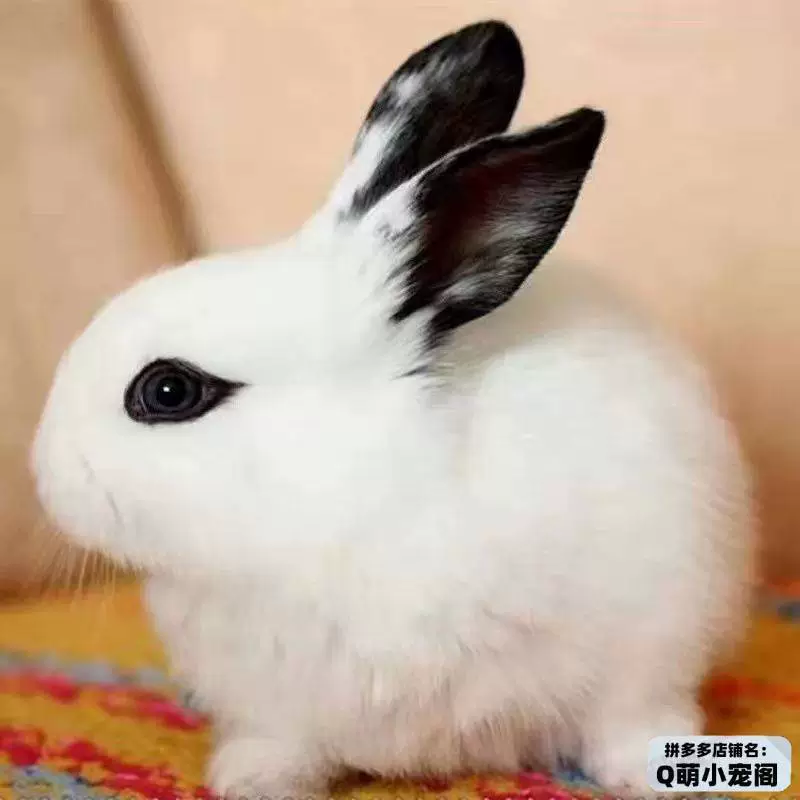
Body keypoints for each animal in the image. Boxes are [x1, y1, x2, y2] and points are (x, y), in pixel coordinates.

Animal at [32, 20, 754, 800]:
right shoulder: (276, 705)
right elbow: (280, 743)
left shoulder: (646, 645)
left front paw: (654, 774)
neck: (354, 498)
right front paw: (250, 780)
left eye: (168, 392)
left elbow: (629, 717)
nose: (42, 475)